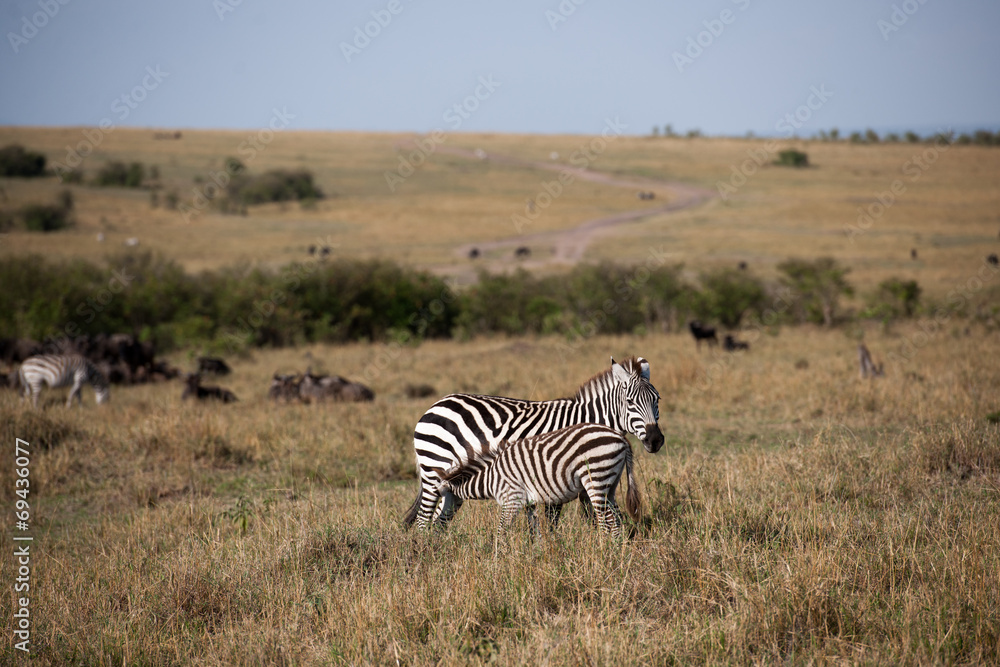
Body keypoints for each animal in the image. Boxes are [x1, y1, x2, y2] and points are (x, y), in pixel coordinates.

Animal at [436, 424, 640, 539]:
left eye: (440, 499)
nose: (434, 528)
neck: (491, 478)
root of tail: (620, 437)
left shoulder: (512, 499)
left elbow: (501, 531)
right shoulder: (529, 503)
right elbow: (535, 530)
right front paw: (538, 555)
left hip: (596, 478)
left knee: (608, 522)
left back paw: (603, 552)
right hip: (609, 484)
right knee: (617, 520)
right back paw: (618, 552)